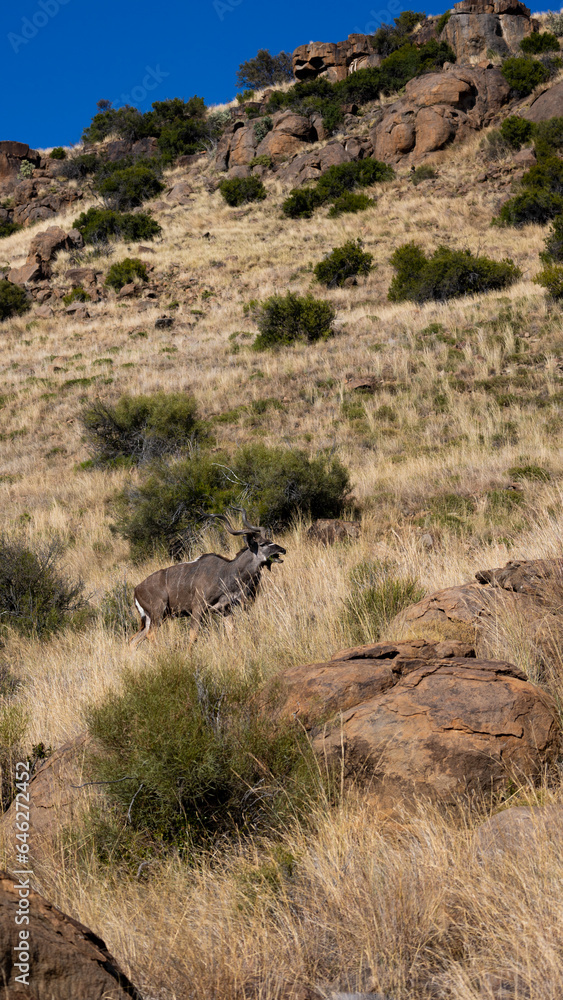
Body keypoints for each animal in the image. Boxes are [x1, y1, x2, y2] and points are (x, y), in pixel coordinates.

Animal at [131, 508, 286, 648]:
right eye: (262, 544)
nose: (282, 550)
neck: (226, 572)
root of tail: (136, 590)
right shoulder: (197, 608)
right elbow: (193, 635)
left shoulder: (225, 610)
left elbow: (231, 633)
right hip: (158, 612)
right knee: (150, 635)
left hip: (154, 618)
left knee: (134, 639)